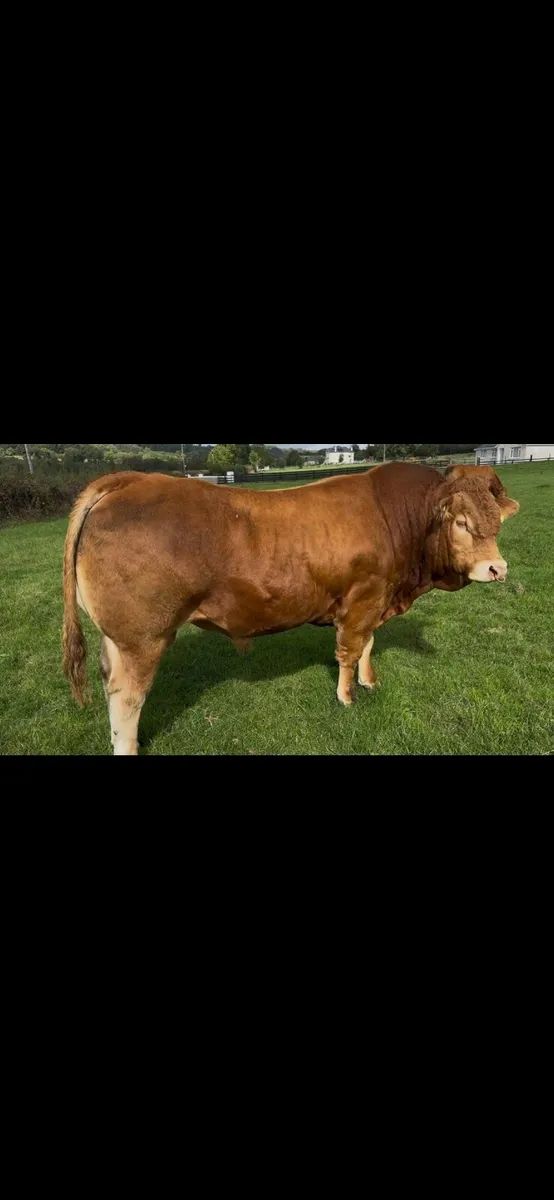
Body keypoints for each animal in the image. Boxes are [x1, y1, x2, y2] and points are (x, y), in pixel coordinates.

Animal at [63, 463, 519, 754]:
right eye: (461, 522)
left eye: (497, 520)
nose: (497, 569)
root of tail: (129, 481)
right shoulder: (362, 598)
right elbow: (350, 650)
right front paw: (347, 696)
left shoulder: (375, 599)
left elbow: (368, 645)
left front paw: (370, 681)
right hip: (142, 638)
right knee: (127, 699)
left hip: (116, 639)